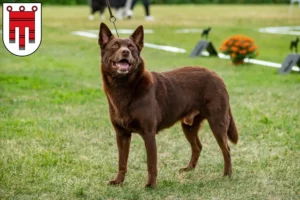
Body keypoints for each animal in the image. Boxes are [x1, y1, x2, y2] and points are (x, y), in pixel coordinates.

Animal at [99, 22, 239, 188]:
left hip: (217, 122)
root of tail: (216, 75)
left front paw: (150, 185)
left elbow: (151, 163)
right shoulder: (121, 135)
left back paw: (227, 174)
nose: (125, 52)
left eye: (131, 47)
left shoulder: (149, 134)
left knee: (227, 149)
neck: (124, 87)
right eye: (114, 46)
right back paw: (189, 169)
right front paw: (118, 181)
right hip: (189, 126)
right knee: (197, 146)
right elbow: (122, 162)